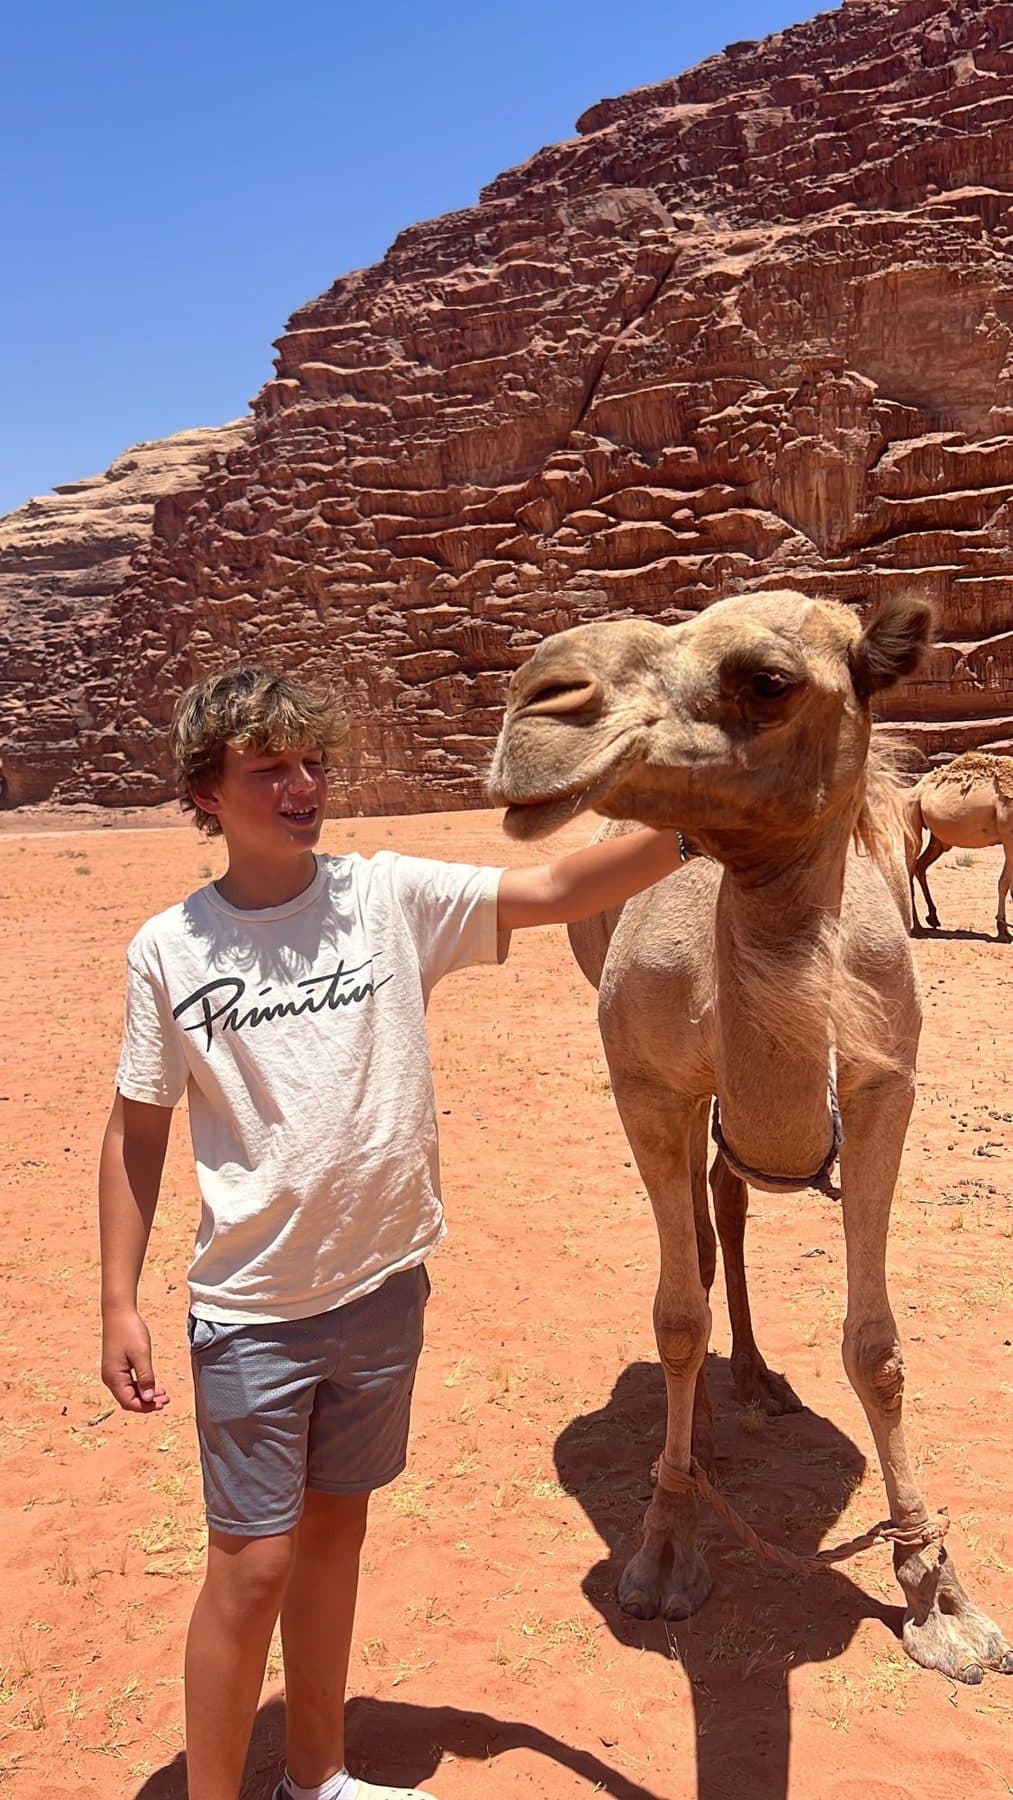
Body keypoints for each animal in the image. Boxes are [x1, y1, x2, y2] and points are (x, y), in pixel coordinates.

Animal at [905, 751, 1013, 941]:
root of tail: (916, 788)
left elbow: (1005, 883)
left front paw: (1003, 929)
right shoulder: (1009, 834)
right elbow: (1007, 883)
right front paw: (1004, 930)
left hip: (940, 840)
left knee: (920, 865)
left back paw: (933, 918)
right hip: (912, 813)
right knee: (910, 865)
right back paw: (917, 928)